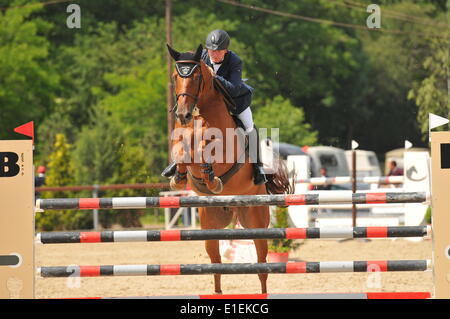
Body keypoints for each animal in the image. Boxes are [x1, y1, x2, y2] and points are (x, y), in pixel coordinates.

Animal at [165, 43, 292, 294]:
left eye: (196, 77)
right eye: (176, 76)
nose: (183, 114)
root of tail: (233, 205)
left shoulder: (224, 149)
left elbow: (205, 147)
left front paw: (212, 178)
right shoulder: (180, 136)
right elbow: (183, 147)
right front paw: (179, 175)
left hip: (257, 223)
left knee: (262, 265)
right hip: (211, 228)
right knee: (216, 264)